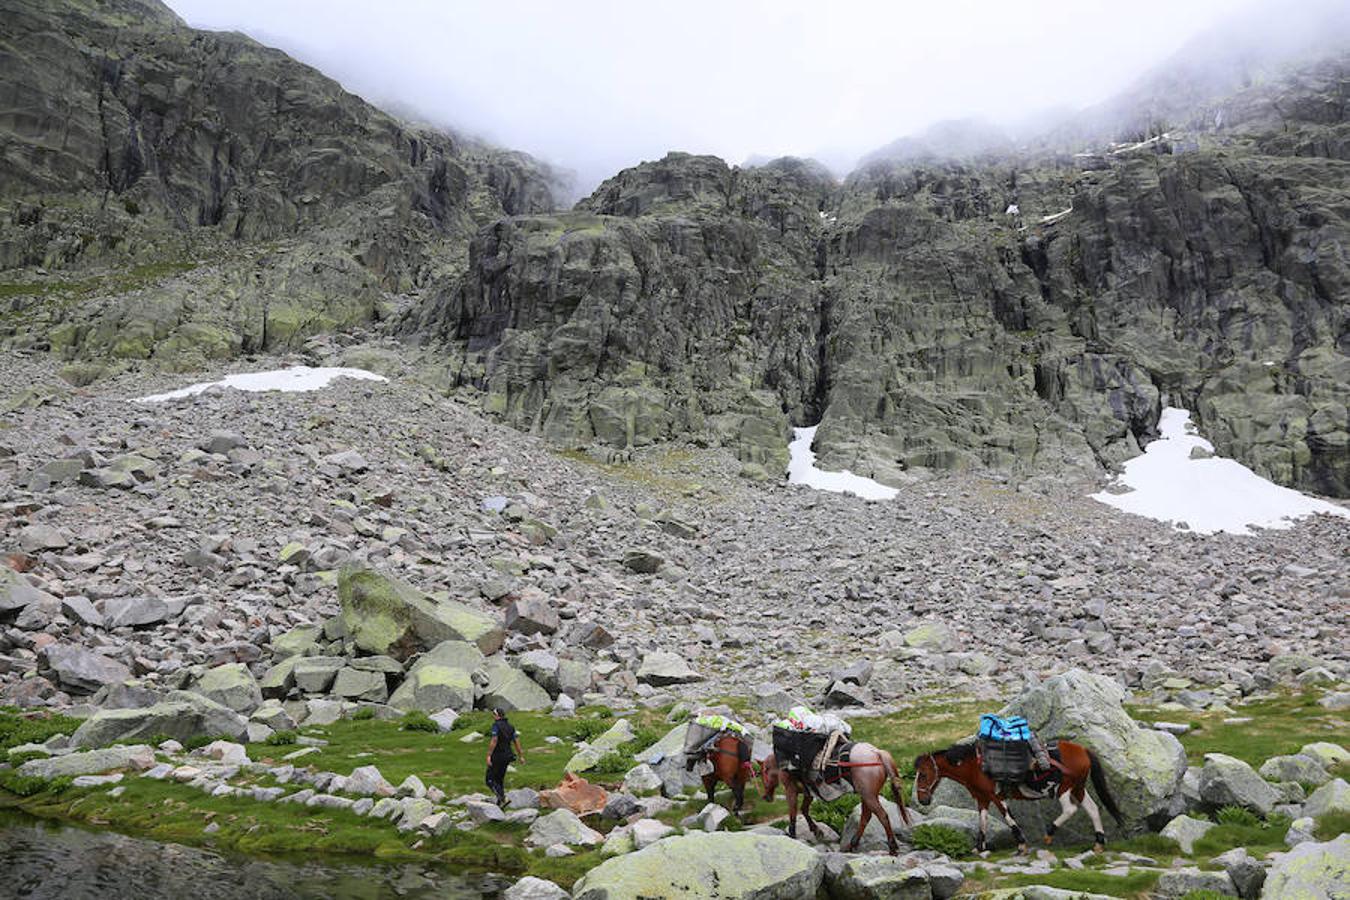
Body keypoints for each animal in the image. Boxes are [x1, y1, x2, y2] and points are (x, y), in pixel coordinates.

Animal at [761, 744, 918, 858]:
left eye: (763, 772)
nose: (766, 797)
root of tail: (877, 752)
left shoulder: (791, 790)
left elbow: (793, 811)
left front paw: (793, 833)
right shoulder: (809, 792)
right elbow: (804, 810)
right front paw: (816, 830)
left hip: (868, 795)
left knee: (882, 816)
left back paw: (892, 847)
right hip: (867, 795)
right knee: (866, 816)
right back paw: (852, 844)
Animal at [912, 744, 1123, 858]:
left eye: (923, 775)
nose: (923, 800)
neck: (976, 767)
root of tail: (1083, 750)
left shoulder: (996, 796)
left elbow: (1009, 818)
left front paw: (1021, 845)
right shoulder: (982, 798)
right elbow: (982, 822)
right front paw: (979, 847)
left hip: (1065, 788)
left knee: (1070, 809)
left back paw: (1050, 832)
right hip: (1078, 788)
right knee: (1093, 809)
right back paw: (1098, 843)